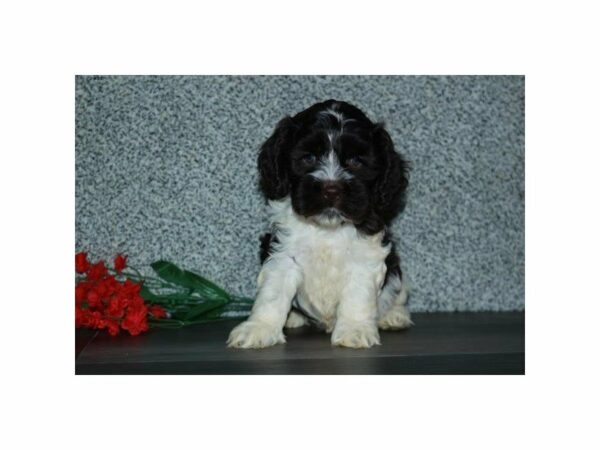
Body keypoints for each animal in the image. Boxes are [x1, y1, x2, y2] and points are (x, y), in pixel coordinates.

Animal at [226, 100, 412, 350]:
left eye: (356, 161)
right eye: (308, 158)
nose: (331, 189)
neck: (327, 229)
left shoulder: (366, 256)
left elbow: (358, 296)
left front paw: (354, 330)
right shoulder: (282, 253)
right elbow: (272, 293)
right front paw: (259, 328)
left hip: (397, 270)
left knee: (397, 291)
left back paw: (394, 315)